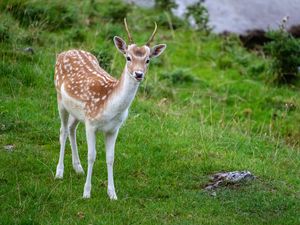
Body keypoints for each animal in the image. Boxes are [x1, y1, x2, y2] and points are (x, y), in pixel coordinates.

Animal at [54, 18, 166, 200]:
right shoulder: (91, 123)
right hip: (60, 99)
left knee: (71, 128)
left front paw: (112, 194)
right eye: (128, 57)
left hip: (77, 113)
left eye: (148, 60)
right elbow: (92, 156)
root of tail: (64, 52)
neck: (109, 107)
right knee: (62, 131)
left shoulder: (114, 128)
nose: (138, 74)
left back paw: (78, 168)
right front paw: (86, 193)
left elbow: (110, 158)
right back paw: (59, 172)